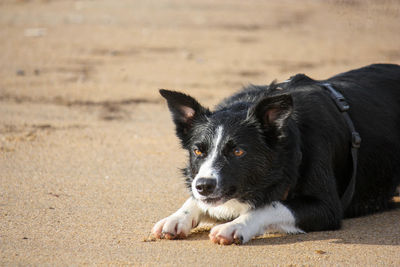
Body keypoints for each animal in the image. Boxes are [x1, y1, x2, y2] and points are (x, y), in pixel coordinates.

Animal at [151, 63, 400, 246]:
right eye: (198, 151)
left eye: (238, 151)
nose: (204, 185)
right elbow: (195, 200)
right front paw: (177, 217)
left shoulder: (327, 207)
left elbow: (270, 206)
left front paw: (235, 226)